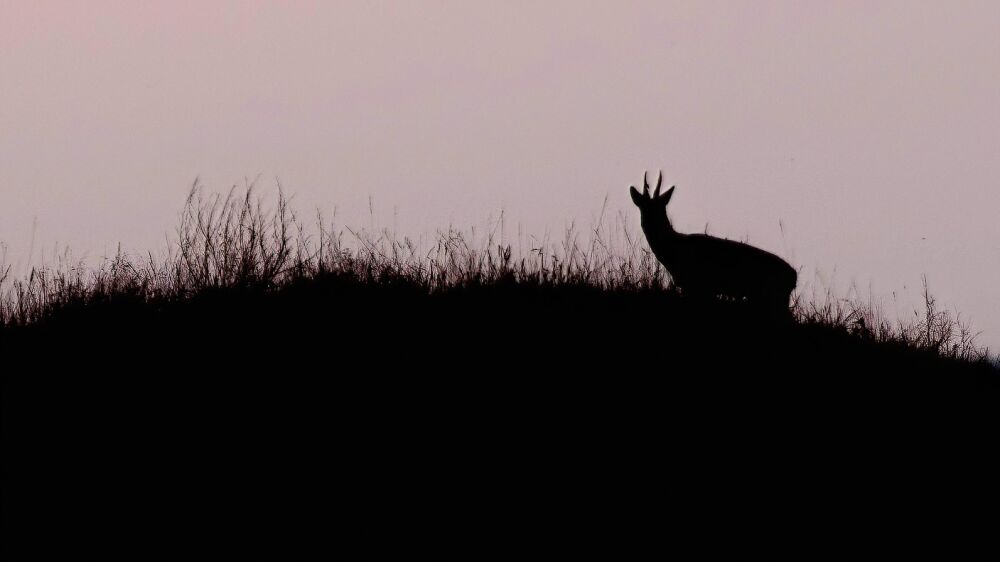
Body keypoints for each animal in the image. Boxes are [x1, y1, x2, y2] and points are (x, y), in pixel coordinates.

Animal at [628, 171, 800, 306]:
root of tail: (793, 276)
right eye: (644, 207)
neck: (675, 250)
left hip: (771, 296)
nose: (650, 223)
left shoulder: (699, 285)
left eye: (658, 209)